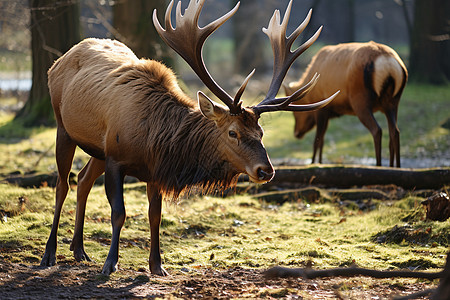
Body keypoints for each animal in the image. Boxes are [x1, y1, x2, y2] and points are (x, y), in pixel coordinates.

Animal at [41, 0, 338, 276]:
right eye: (233, 132)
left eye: (261, 132)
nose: (266, 170)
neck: (155, 140)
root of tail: (58, 61)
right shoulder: (116, 158)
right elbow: (119, 213)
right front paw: (110, 263)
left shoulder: (153, 170)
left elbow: (155, 215)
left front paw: (157, 265)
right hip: (63, 128)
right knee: (62, 185)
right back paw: (50, 254)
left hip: (97, 149)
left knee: (83, 179)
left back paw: (79, 249)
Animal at [286, 41, 410, 169]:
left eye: (294, 112)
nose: (296, 133)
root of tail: (389, 66)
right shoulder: (328, 112)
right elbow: (322, 140)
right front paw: (319, 162)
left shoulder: (321, 108)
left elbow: (317, 140)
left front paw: (313, 163)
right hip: (393, 103)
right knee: (395, 132)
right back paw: (395, 167)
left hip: (360, 101)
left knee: (377, 130)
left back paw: (379, 166)